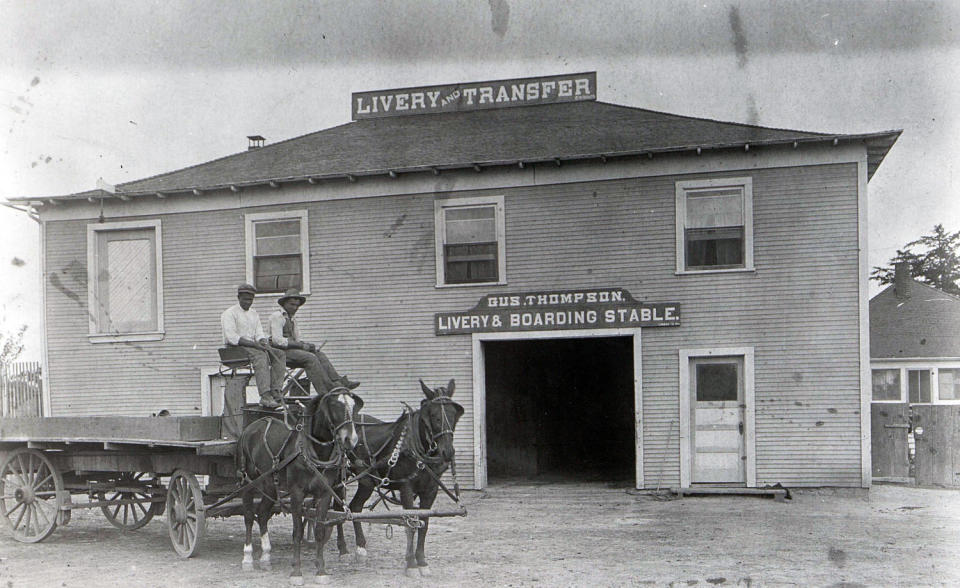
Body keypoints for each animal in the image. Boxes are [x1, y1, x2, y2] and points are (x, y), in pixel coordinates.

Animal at [236, 388, 364, 584]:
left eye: (353, 405)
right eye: (335, 405)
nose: (351, 439)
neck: (312, 452)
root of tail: (251, 428)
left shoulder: (324, 494)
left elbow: (319, 530)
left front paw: (321, 570)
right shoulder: (297, 493)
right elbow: (297, 532)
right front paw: (296, 571)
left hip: (269, 485)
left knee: (263, 513)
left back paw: (266, 556)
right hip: (249, 482)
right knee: (249, 515)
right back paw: (248, 556)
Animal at [336, 378, 464, 576]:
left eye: (453, 415)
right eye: (433, 416)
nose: (448, 452)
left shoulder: (431, 490)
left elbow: (424, 522)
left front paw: (422, 561)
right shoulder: (406, 487)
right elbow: (410, 522)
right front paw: (411, 564)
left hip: (366, 481)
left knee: (354, 507)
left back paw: (361, 547)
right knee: (336, 507)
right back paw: (342, 549)